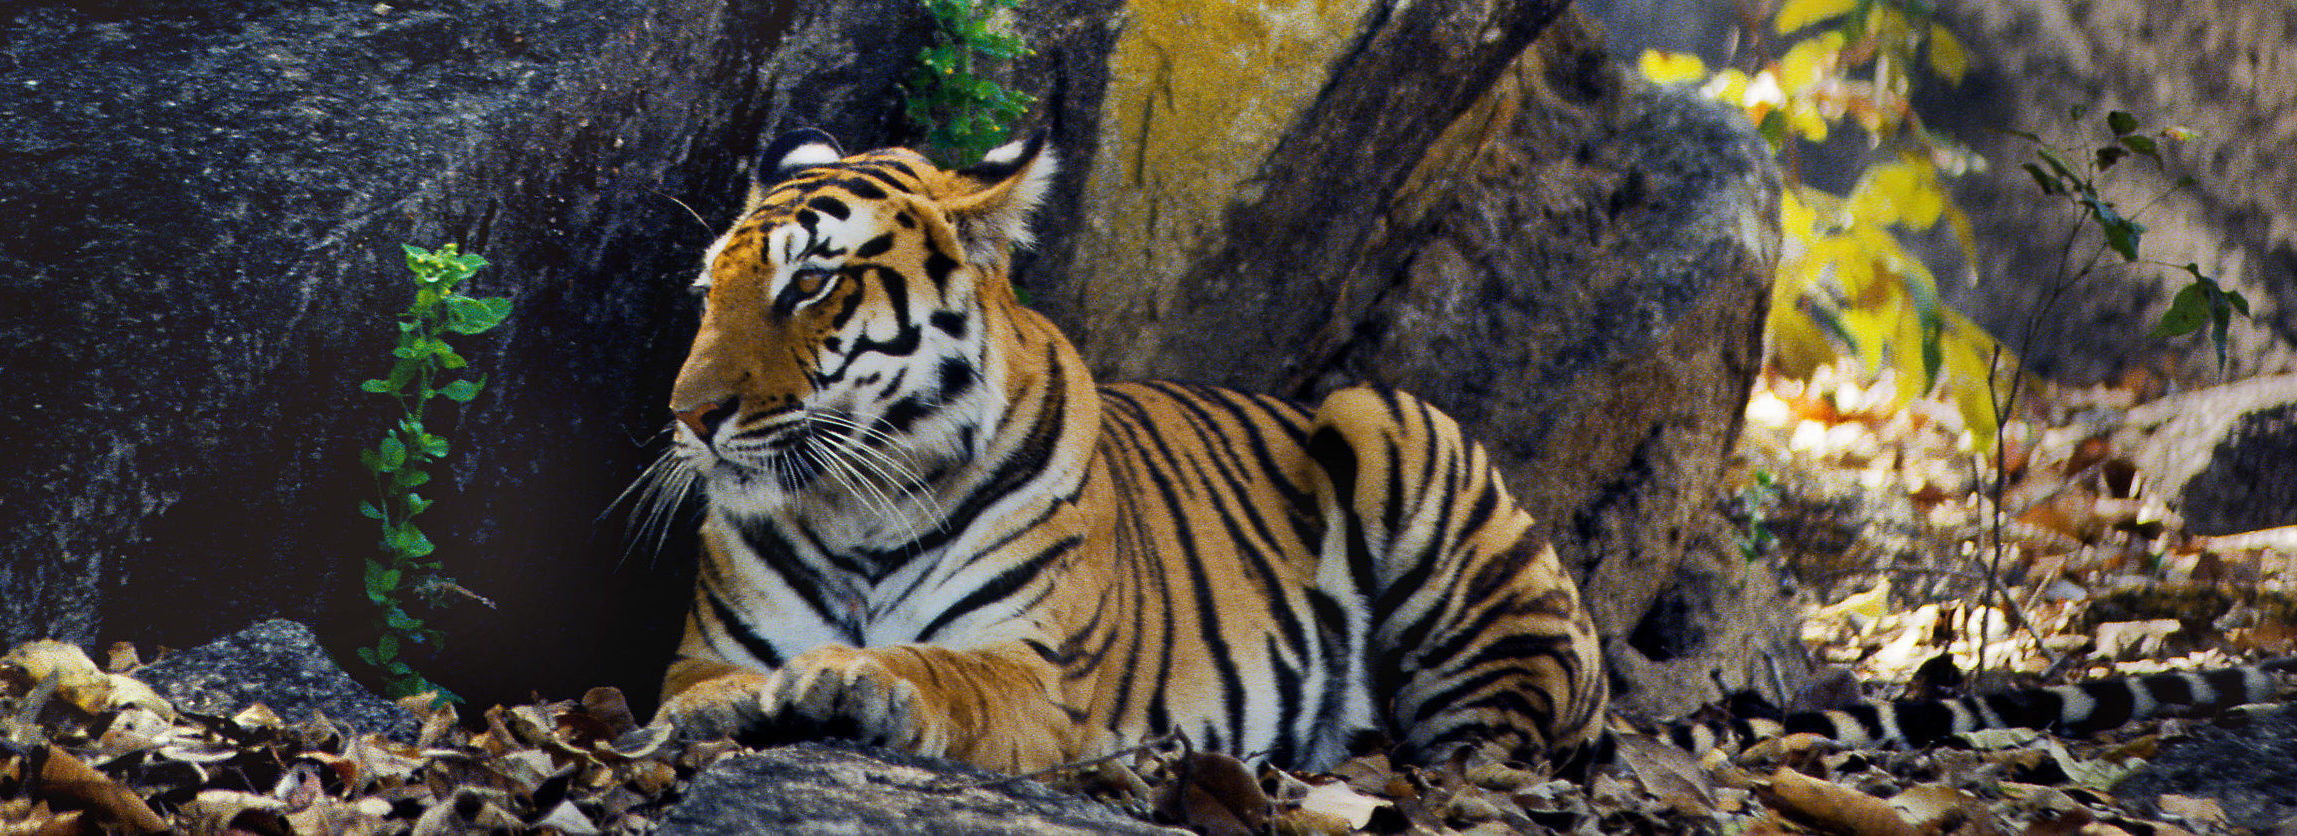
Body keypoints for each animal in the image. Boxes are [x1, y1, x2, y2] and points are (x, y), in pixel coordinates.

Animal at [643, 127, 1617, 771]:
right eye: (705, 291)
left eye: (810, 283)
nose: (689, 414)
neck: (859, 508)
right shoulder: (703, 643)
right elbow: (693, 683)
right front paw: (727, 703)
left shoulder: (1038, 670)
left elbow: (944, 670)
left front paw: (852, 679)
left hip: (1385, 419)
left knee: (1492, 750)